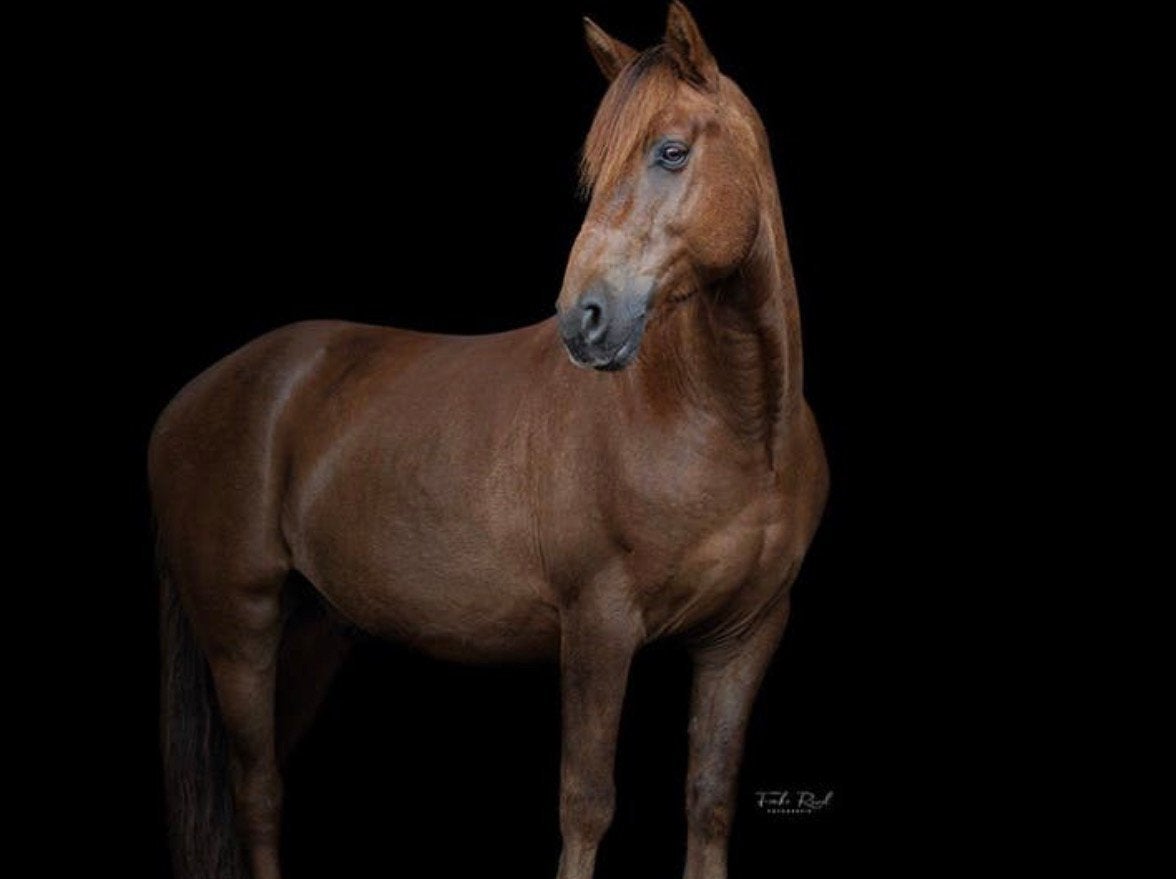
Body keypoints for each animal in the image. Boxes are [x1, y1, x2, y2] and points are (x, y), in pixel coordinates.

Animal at [151, 4, 828, 877]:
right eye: (595, 167)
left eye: (672, 151)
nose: (585, 319)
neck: (729, 425)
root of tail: (188, 403)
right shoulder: (599, 626)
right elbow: (585, 804)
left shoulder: (743, 637)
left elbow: (708, 802)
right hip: (241, 628)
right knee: (256, 791)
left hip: (309, 632)